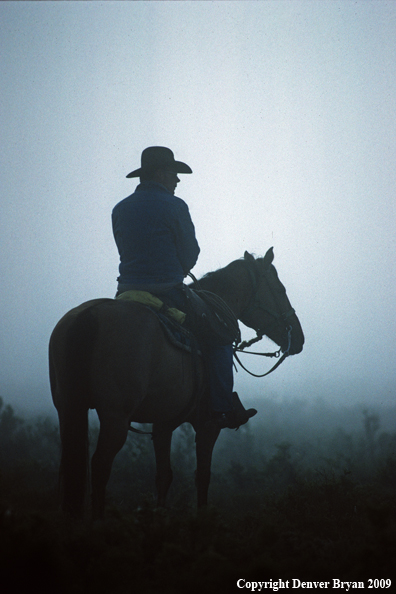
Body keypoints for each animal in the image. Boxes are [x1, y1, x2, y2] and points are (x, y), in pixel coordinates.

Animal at [48, 247, 304, 516]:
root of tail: (87, 315)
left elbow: (164, 475)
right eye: (280, 289)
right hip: (115, 417)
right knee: (99, 466)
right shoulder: (207, 425)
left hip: (68, 408)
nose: (299, 338)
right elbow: (203, 475)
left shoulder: (163, 423)